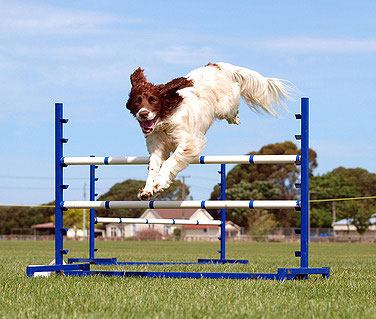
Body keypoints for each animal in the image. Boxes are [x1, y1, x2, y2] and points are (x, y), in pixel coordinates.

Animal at [126, 62, 290, 200]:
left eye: (153, 100)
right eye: (137, 101)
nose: (143, 114)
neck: (165, 120)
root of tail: (215, 65)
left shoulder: (188, 143)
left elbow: (170, 162)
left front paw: (158, 184)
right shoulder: (157, 148)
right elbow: (153, 168)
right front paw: (148, 190)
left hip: (225, 105)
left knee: (235, 94)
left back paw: (235, 117)